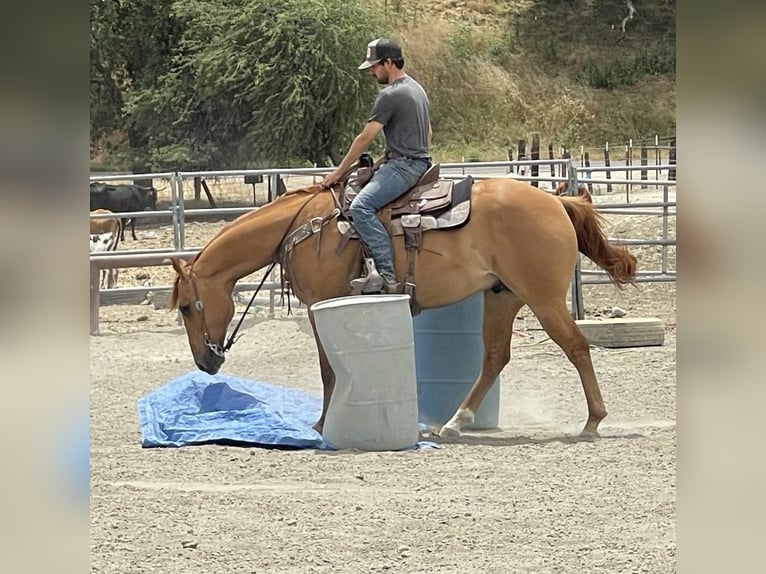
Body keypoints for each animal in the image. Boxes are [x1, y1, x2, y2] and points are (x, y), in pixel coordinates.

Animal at [169, 177, 636, 438]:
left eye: (188, 307)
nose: (205, 363)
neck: (304, 226)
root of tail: (557, 202)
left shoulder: (321, 303)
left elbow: (328, 369)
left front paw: (321, 425)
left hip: (542, 297)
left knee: (575, 346)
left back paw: (592, 421)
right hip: (502, 295)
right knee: (494, 357)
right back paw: (455, 421)